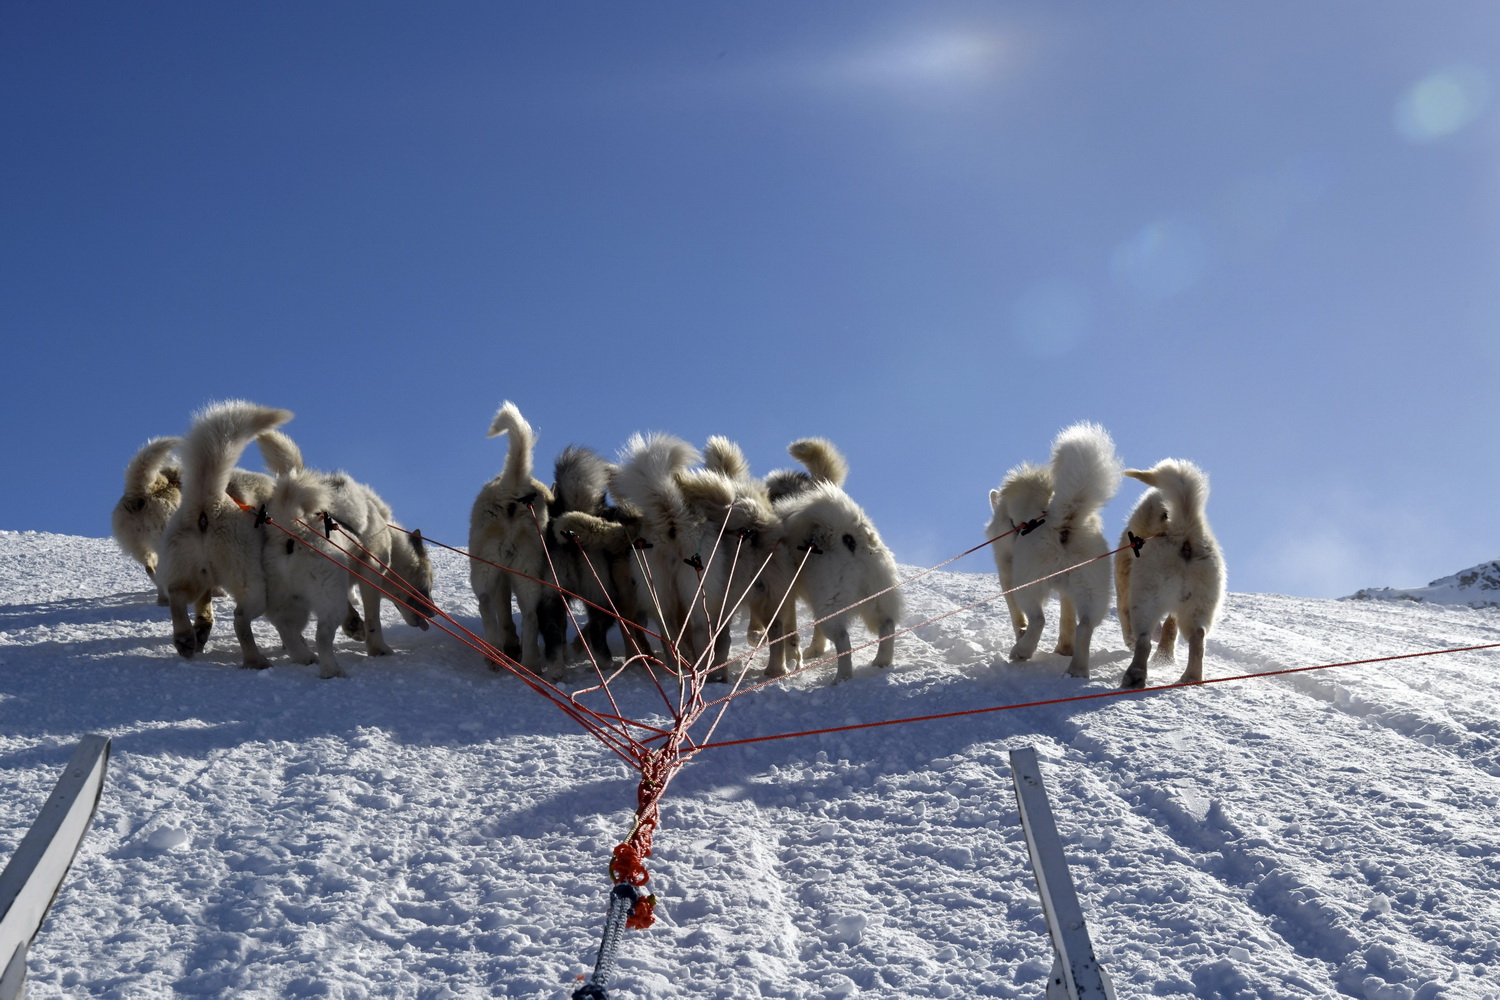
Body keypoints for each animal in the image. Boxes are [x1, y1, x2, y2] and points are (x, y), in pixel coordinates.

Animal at [774, 479, 900, 683]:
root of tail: (848, 534)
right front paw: (815, 650)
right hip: (876, 597)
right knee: (887, 625)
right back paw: (881, 661)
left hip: (831, 605)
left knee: (843, 640)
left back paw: (841, 677)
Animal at [990, 422, 1122, 680]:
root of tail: (1065, 518)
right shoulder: (1067, 593)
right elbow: (1067, 619)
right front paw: (1064, 649)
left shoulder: (1006, 572)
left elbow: (1016, 615)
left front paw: (1020, 634)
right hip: (1093, 592)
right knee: (1084, 627)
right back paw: (1077, 670)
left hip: (1027, 584)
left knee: (1038, 620)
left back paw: (1021, 651)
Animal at [1122, 458, 1224, 689]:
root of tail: (1183, 532)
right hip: (1198, 606)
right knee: (1197, 639)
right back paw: (1191, 677)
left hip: (1146, 601)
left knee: (1144, 642)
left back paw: (1134, 676)